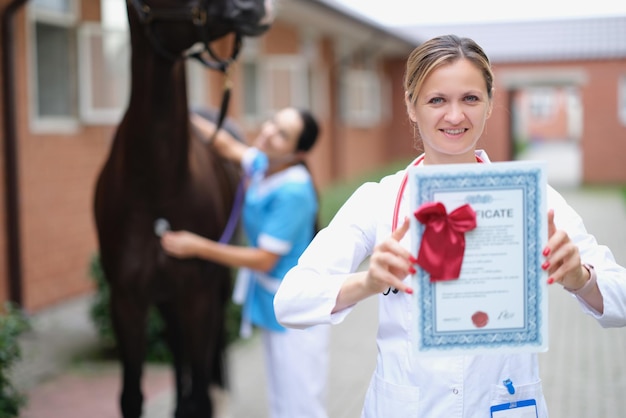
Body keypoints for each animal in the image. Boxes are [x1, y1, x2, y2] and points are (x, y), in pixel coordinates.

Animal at [92, 0, 270, 418]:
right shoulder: (126, 300)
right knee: (176, 344)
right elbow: (131, 396)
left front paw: (199, 399)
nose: (254, 8)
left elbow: (201, 392)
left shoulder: (197, 294)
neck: (155, 188)